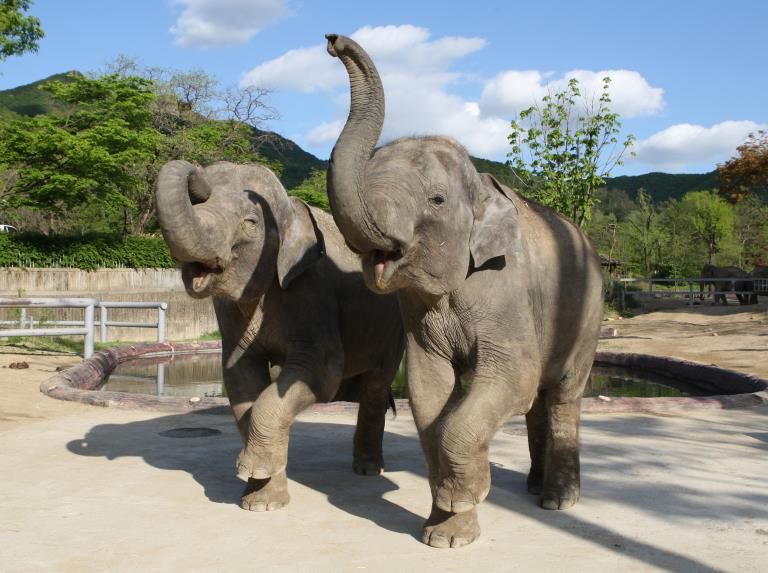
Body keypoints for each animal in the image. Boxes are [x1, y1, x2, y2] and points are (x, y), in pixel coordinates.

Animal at [155, 159, 404, 511]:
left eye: (250, 222)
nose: (196, 175)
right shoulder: (230, 311)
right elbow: (240, 378)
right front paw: (259, 499)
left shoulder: (311, 290)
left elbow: (322, 373)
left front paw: (255, 476)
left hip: (393, 327)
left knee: (375, 386)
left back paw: (368, 469)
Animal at [324, 35, 604, 548]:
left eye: (436, 200)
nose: (332, 41)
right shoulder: (417, 313)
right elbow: (427, 391)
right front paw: (444, 530)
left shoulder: (505, 291)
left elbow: (510, 379)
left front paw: (459, 510)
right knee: (539, 400)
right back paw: (533, 487)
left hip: (589, 316)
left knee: (562, 394)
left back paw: (557, 501)